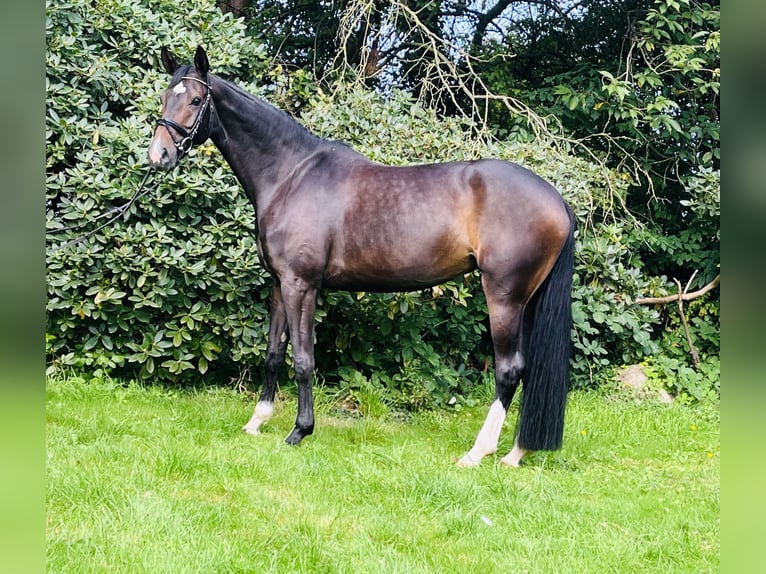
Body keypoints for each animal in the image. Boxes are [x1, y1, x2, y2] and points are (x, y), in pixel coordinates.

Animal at [147, 47, 572, 470]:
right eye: (165, 96)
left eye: (196, 100)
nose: (158, 156)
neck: (291, 175)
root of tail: (555, 199)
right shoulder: (280, 284)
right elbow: (273, 353)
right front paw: (257, 421)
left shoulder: (301, 285)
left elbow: (303, 359)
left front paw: (299, 431)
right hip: (527, 302)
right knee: (527, 371)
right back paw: (516, 454)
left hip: (504, 297)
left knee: (509, 369)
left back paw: (477, 452)